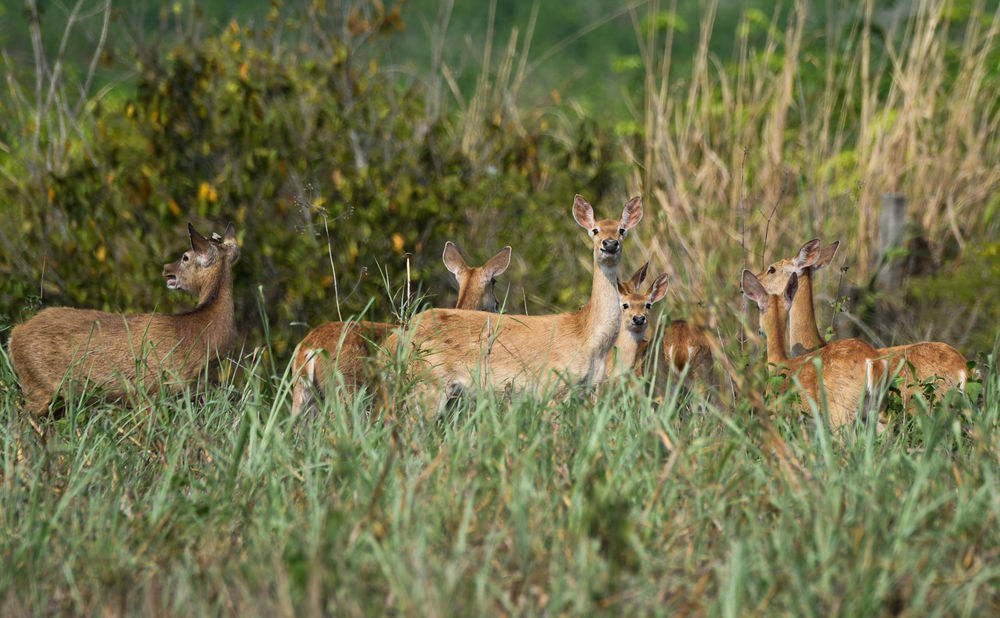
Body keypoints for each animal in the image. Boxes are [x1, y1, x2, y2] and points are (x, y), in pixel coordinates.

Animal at [9, 221, 238, 418]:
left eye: (185, 257)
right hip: (37, 386)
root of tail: (14, 334)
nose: (166, 268)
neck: (194, 337)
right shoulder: (146, 390)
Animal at [386, 191, 644, 404]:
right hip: (429, 381)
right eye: (595, 230)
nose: (609, 244)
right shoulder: (550, 385)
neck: (587, 335)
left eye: (622, 230)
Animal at [740, 268, 888, 430]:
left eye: (757, 307)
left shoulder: (777, 410)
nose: (759, 331)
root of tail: (871, 361)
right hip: (877, 409)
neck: (779, 363)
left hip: (840, 408)